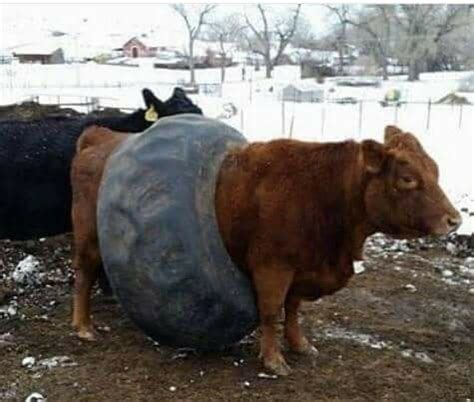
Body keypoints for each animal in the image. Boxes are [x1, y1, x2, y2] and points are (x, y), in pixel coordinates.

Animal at [215, 125, 460, 374]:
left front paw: (300, 344)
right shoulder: (272, 266)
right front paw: (273, 360)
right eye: (407, 178)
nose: (454, 220)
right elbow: (271, 311)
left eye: (436, 170)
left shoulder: (302, 268)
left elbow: (293, 307)